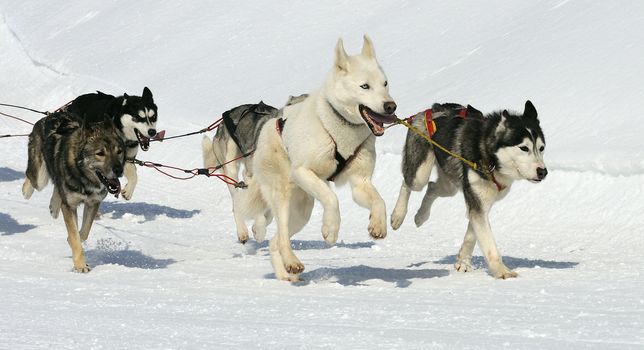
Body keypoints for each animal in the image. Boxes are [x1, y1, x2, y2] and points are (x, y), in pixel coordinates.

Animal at [23, 110, 126, 272]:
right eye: (100, 153)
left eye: (119, 151)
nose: (118, 170)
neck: (83, 176)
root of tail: (49, 116)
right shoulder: (70, 206)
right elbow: (75, 236)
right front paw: (80, 265)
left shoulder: (93, 203)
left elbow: (82, 234)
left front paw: (73, 243)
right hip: (39, 179)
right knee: (30, 178)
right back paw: (27, 191)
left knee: (57, 187)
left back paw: (54, 206)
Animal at [203, 94, 310, 245]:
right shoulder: (252, 177)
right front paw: (258, 230)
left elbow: (269, 212)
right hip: (231, 167)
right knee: (237, 202)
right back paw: (242, 231)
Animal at [238, 35, 398, 282]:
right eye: (365, 86)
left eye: (385, 83)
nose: (391, 106)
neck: (339, 128)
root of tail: (265, 130)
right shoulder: (304, 171)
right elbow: (332, 198)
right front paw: (330, 229)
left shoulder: (360, 182)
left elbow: (379, 200)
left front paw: (378, 225)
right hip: (283, 196)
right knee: (281, 235)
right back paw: (292, 262)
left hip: (302, 211)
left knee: (276, 241)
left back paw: (286, 274)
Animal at [388, 101, 548, 278]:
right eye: (524, 148)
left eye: (541, 148)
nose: (543, 171)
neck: (487, 154)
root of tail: (433, 108)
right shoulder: (477, 201)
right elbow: (489, 245)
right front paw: (502, 271)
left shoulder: (480, 204)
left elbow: (472, 235)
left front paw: (463, 262)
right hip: (420, 175)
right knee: (408, 183)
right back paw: (398, 215)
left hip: (449, 185)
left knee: (431, 187)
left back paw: (421, 216)